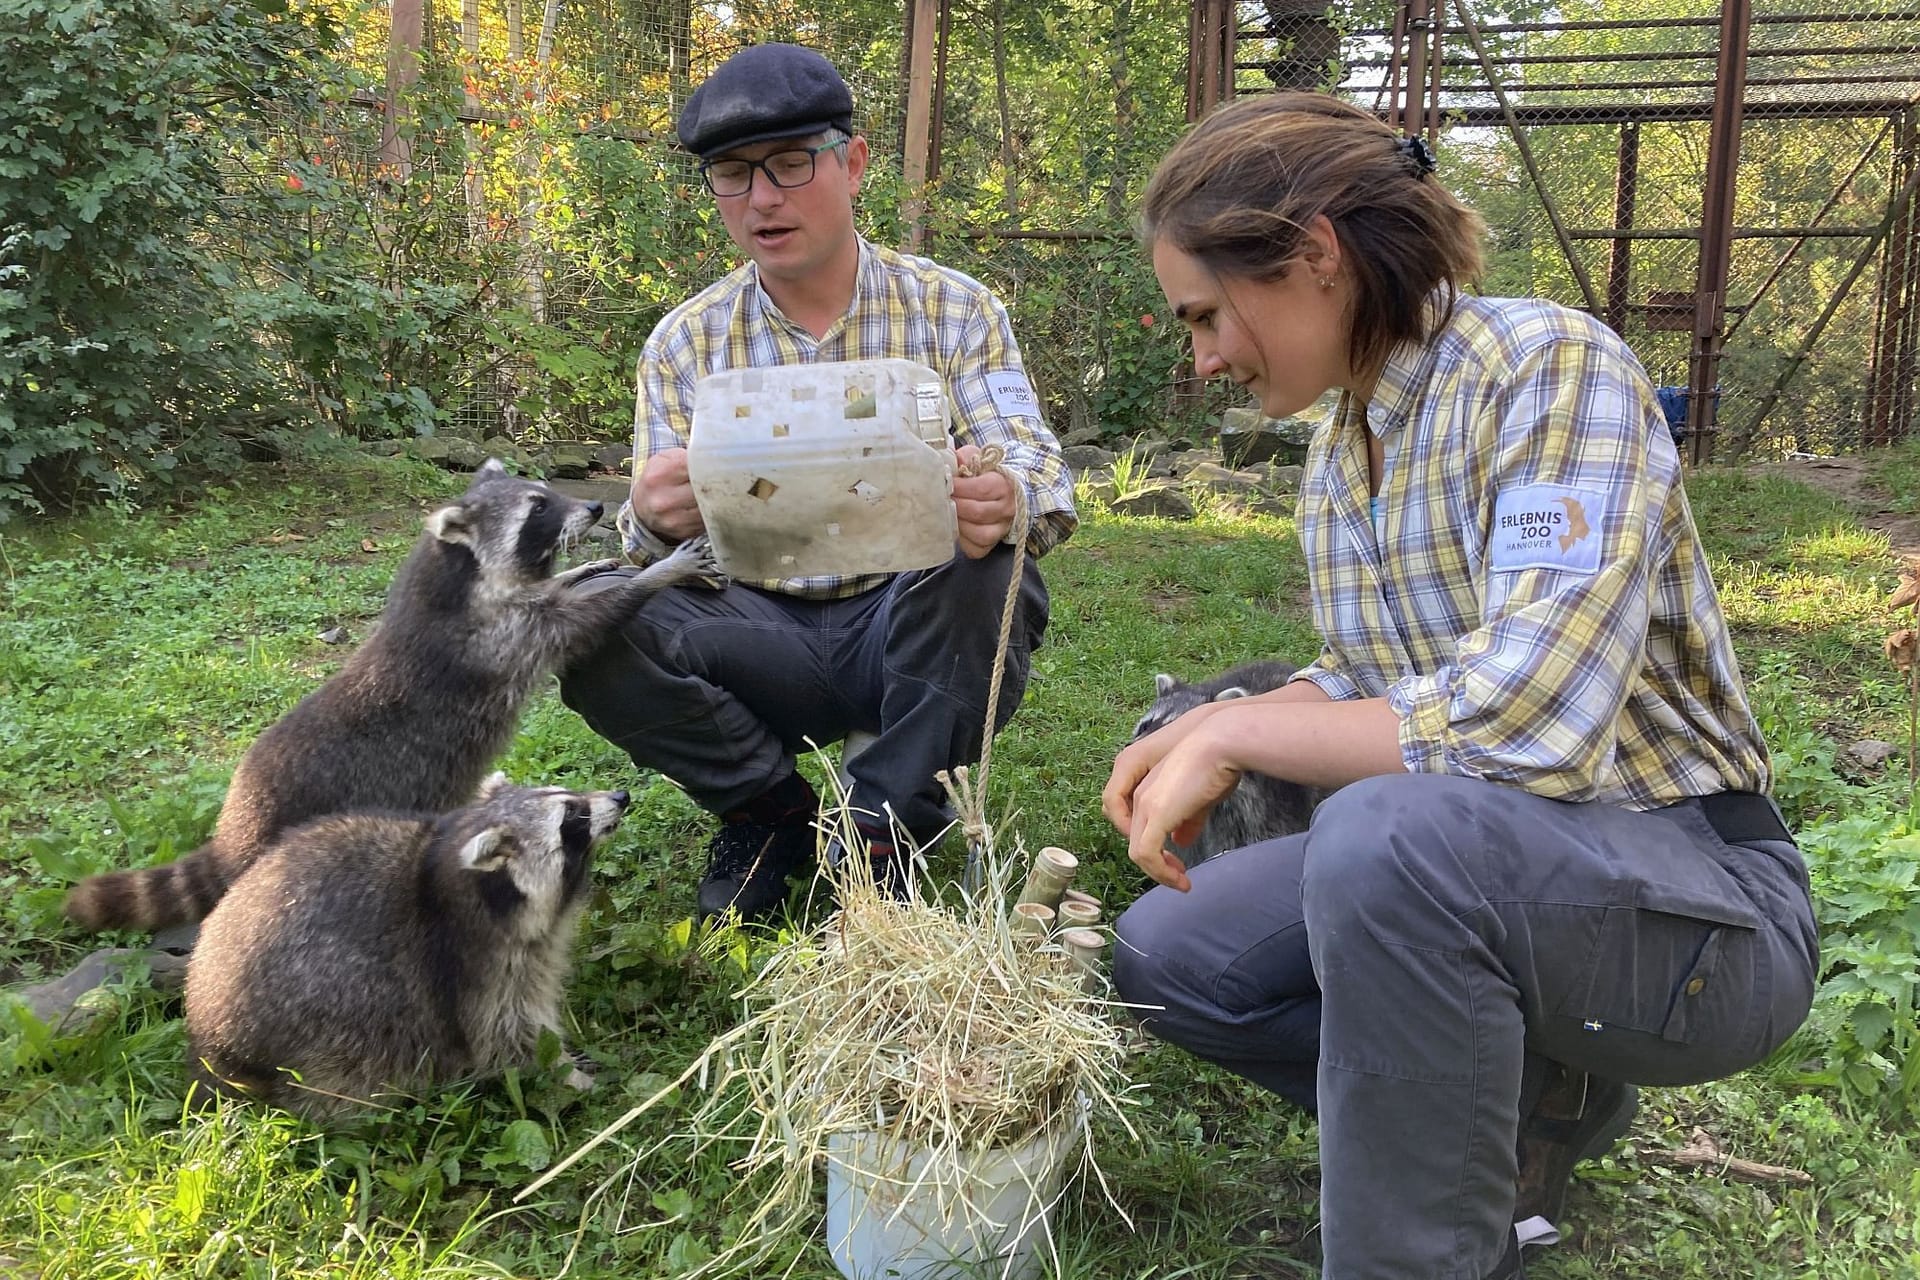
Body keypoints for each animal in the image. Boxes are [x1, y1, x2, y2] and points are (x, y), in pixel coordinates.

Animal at [65, 460, 721, 932]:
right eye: (537, 507)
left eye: (545, 489)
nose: (593, 507)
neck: (452, 573)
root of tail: (236, 825)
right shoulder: (497, 637)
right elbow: (587, 622)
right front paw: (655, 575)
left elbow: (561, 592)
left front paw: (581, 571)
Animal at [184, 771, 625, 1120]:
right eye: (572, 816)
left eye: (566, 793)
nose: (621, 796)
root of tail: (213, 1046)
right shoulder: (473, 960)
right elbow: (509, 1033)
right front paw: (568, 1073)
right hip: (321, 1024)